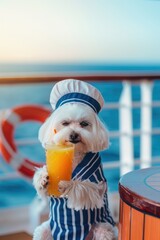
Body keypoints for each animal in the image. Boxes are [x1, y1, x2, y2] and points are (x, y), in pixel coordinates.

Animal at [32, 79, 117, 239]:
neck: (75, 154)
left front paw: (67, 185)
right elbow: (43, 186)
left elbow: (86, 188)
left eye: (84, 124)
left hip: (102, 229)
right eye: (65, 123)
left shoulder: (97, 187)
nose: (73, 134)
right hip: (45, 230)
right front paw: (42, 178)